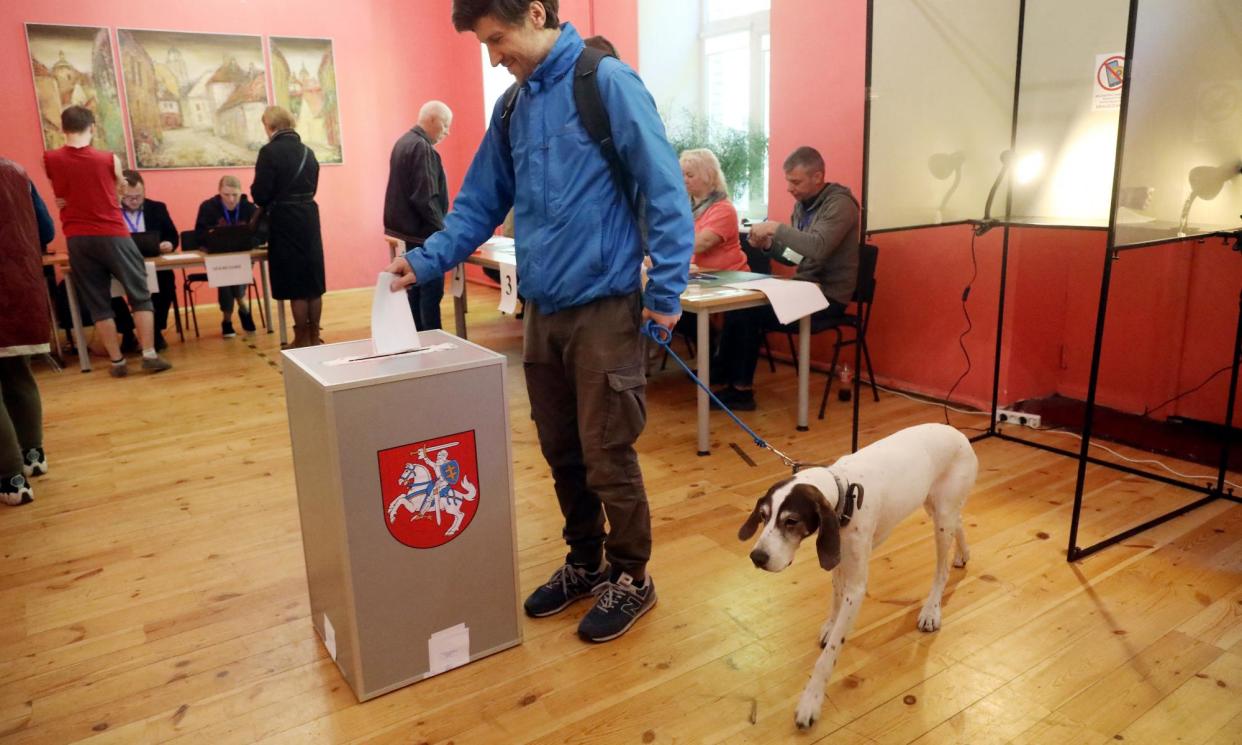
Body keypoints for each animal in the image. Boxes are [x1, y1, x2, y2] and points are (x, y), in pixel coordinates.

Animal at [735, 422, 978, 730]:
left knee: (942, 568)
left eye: (791, 521)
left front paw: (811, 700)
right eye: (764, 516)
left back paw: (931, 610)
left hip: (942, 517)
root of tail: (957, 431)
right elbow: (835, 598)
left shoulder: (857, 586)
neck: (844, 493)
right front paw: (830, 624)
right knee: (960, 521)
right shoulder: (839, 558)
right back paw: (963, 553)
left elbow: (828, 656)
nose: (757, 557)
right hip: (934, 506)